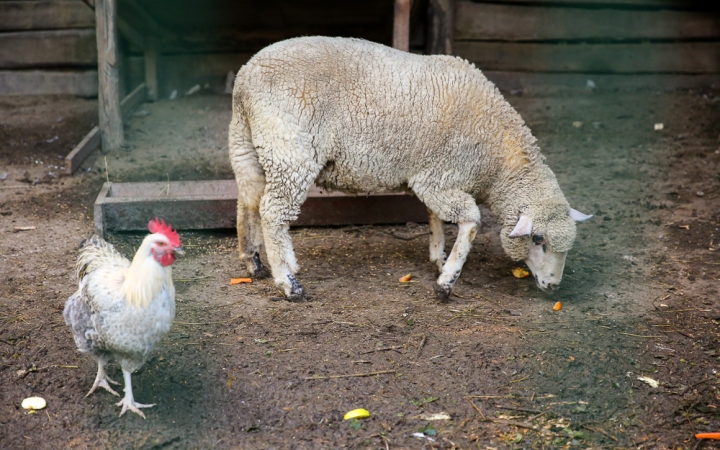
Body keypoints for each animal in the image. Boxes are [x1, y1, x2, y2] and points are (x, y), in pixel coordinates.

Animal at [229, 36, 592, 302]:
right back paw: (288, 282)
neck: (498, 160)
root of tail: (245, 76)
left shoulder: (432, 175)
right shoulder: (440, 178)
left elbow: (435, 216)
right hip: (290, 149)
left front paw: (438, 257)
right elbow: (471, 221)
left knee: (249, 201)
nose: (554, 286)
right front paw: (446, 281)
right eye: (539, 239)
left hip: (249, 144)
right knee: (273, 212)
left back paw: (254, 263)